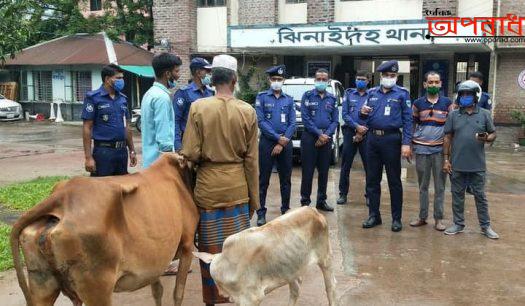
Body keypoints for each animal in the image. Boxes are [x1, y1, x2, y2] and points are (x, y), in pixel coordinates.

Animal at [10, 154, 199, 306]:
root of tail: (63, 195)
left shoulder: (157, 260)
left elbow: (157, 291)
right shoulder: (187, 245)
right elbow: (178, 293)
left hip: (41, 283)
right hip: (98, 287)